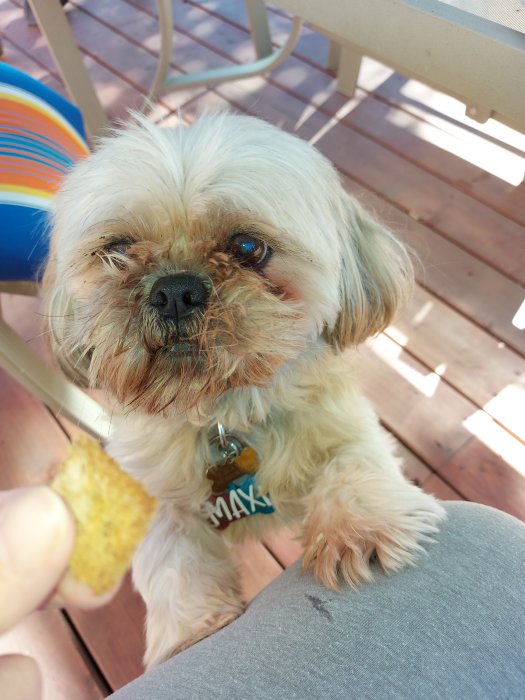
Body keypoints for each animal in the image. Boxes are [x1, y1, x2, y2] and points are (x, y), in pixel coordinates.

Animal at [43, 112, 446, 668]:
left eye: (249, 248)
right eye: (117, 251)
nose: (174, 289)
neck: (226, 408)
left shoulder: (349, 427)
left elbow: (354, 462)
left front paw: (360, 529)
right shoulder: (154, 493)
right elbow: (171, 556)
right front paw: (192, 630)